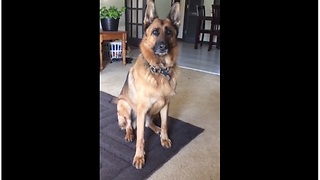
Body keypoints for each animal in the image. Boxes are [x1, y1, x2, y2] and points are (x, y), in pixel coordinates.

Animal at [115, 0, 180, 169]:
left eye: (169, 32)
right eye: (155, 32)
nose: (163, 47)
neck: (159, 70)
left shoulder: (165, 105)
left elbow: (165, 124)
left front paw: (164, 138)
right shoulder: (142, 109)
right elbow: (141, 138)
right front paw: (139, 157)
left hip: (152, 112)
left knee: (147, 124)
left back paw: (156, 129)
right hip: (124, 105)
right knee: (130, 125)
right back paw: (129, 134)